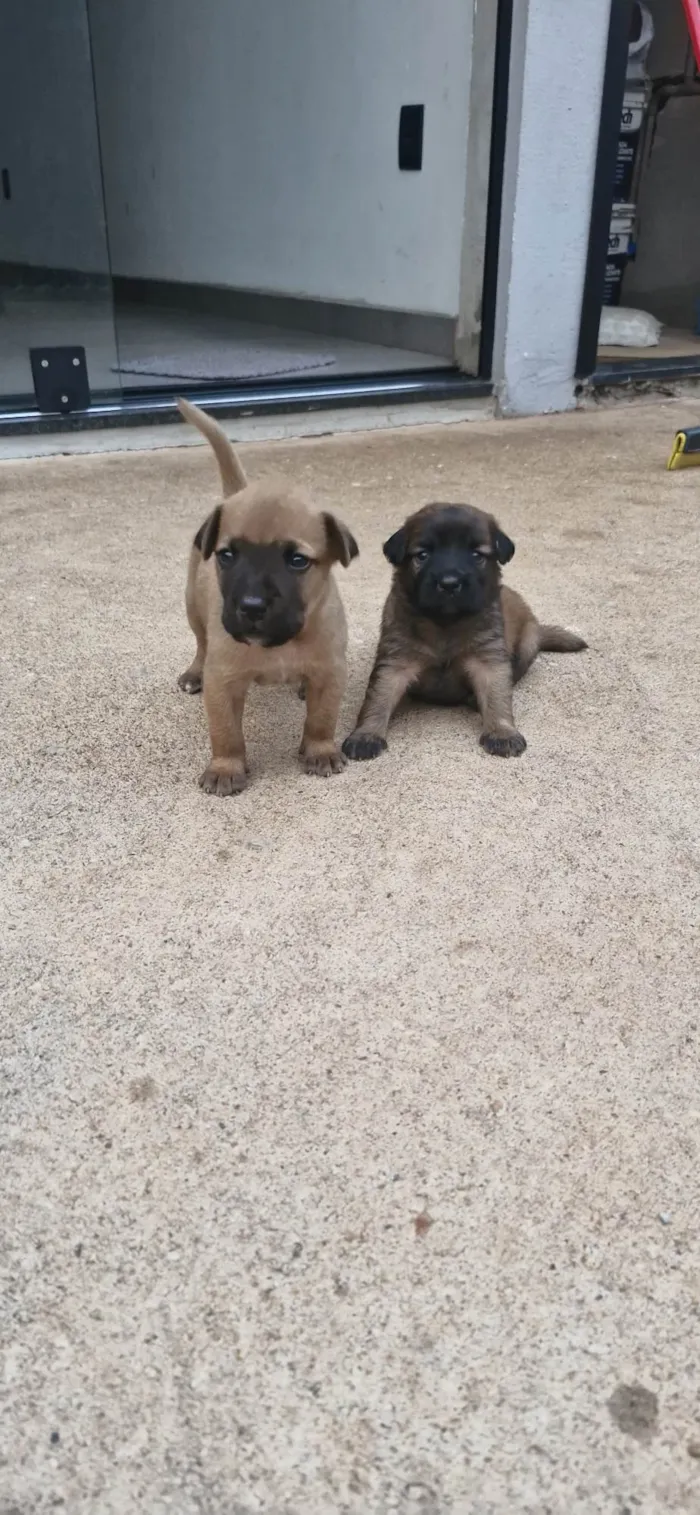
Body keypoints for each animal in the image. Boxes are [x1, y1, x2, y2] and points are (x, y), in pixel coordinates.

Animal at [178, 396, 357, 799]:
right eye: (228, 555)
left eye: (297, 561)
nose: (251, 606)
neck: (281, 644)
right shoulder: (223, 681)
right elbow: (226, 733)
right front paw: (226, 768)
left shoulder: (330, 671)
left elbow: (322, 718)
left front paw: (320, 751)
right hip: (192, 607)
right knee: (200, 643)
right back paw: (193, 672)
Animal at [342, 502, 584, 763]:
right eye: (423, 555)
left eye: (476, 555)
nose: (449, 583)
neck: (445, 623)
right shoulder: (395, 662)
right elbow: (377, 699)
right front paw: (366, 735)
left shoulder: (489, 660)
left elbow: (498, 696)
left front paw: (502, 732)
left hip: (528, 643)